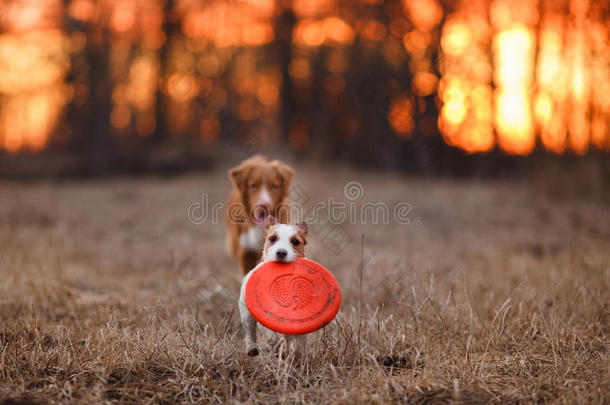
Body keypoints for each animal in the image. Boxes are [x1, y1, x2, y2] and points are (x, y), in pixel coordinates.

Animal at [236, 216, 306, 356]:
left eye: (295, 241)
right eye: (272, 238)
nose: (281, 252)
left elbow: (299, 342)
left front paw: (296, 355)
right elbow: (271, 336)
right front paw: (277, 348)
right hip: (246, 315)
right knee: (250, 333)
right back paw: (252, 349)